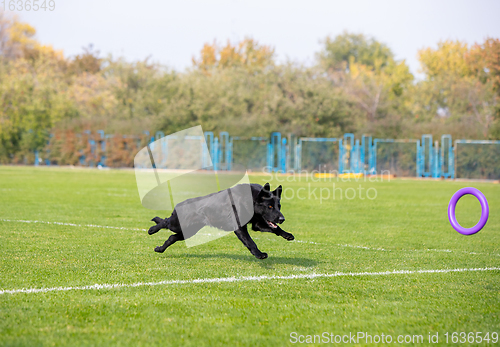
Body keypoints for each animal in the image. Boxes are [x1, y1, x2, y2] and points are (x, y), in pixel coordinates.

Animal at [146, 184, 292, 260]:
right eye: (270, 206)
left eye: (279, 206)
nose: (282, 219)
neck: (251, 200)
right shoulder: (240, 228)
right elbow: (251, 242)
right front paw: (259, 254)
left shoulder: (257, 224)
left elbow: (275, 229)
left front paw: (287, 235)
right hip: (177, 225)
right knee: (165, 222)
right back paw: (152, 229)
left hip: (188, 231)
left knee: (172, 237)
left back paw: (159, 249)